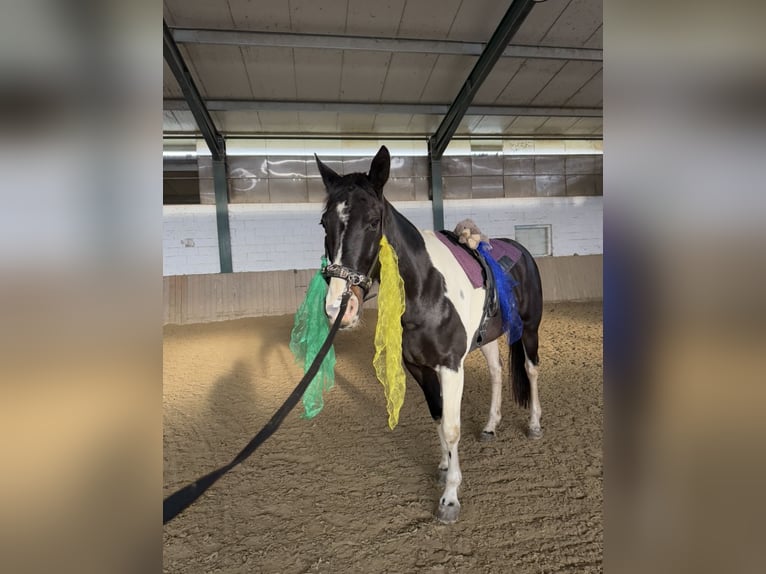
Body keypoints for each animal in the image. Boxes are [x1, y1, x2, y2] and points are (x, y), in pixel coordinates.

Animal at [315, 145, 543, 523]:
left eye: (373, 221)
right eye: (324, 222)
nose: (338, 308)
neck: (426, 290)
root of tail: (522, 251)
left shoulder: (451, 366)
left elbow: (451, 426)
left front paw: (450, 497)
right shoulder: (419, 368)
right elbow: (438, 417)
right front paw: (443, 466)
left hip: (530, 329)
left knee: (530, 369)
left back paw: (535, 424)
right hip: (489, 337)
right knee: (497, 373)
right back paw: (490, 426)